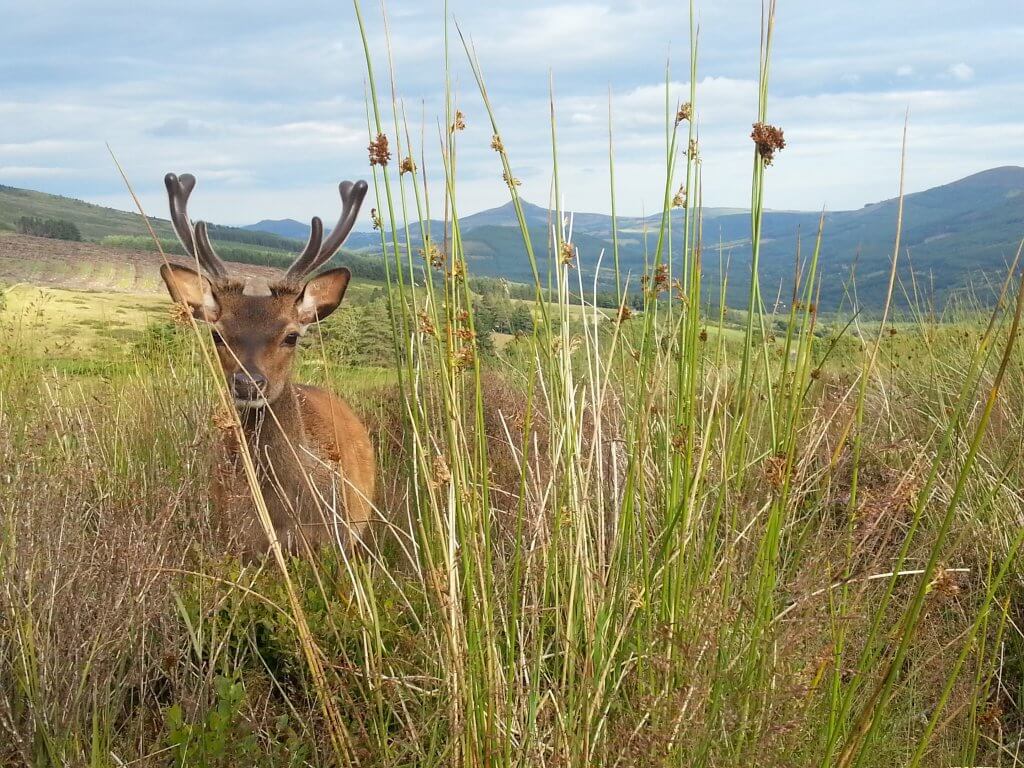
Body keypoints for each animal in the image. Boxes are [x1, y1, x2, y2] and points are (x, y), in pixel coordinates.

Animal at [161, 174, 378, 561]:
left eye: (291, 336)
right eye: (217, 334)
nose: (248, 383)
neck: (288, 514)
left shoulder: (340, 537)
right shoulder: (237, 540)